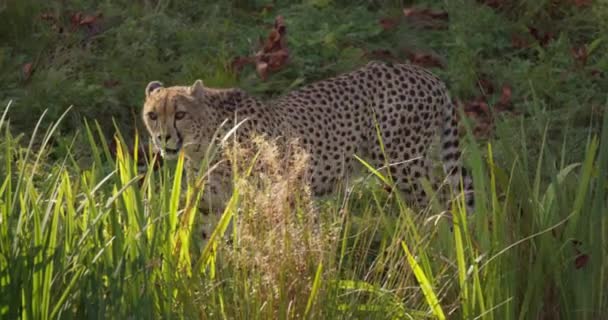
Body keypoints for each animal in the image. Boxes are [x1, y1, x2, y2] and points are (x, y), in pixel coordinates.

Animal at [142, 62, 476, 221]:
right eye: (152, 115)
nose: (163, 138)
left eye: (180, 114)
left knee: (438, 202)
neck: (206, 142)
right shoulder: (212, 205)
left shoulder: (279, 193)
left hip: (403, 166)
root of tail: (429, 75)